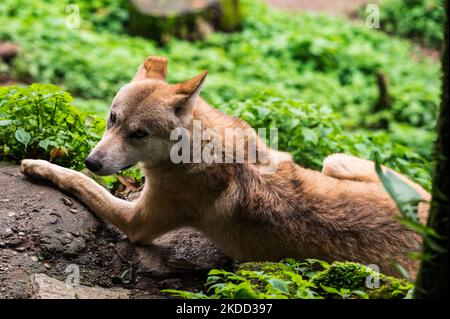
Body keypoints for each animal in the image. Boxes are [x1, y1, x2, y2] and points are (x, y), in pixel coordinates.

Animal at [20, 56, 428, 278]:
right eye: (112, 120)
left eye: (138, 133)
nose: (93, 159)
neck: (199, 148)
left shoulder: (137, 224)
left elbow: (79, 181)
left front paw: (40, 166)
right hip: (336, 161)